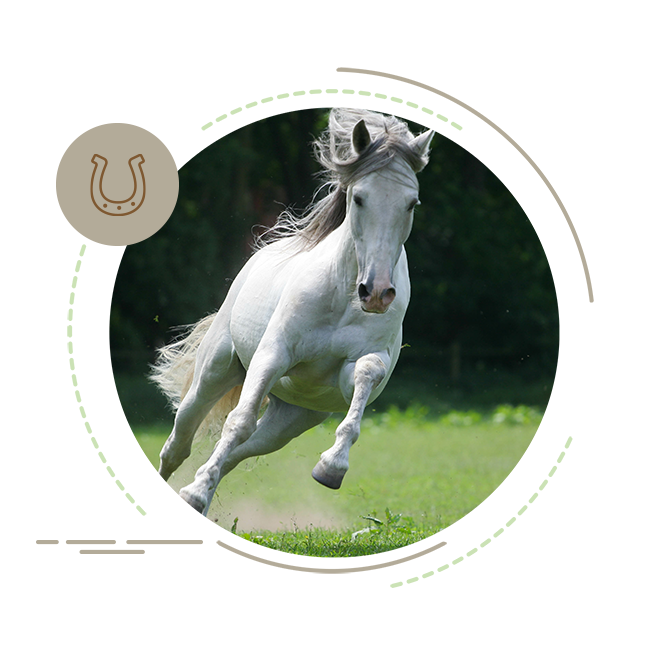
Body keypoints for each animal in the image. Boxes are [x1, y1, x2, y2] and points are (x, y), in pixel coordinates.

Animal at [123, 107, 439, 550]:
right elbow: (237, 421)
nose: (376, 293)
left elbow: (365, 375)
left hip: (291, 419)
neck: (342, 293)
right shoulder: (273, 356)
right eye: (359, 198)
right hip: (215, 375)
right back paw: (139, 527)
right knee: (179, 448)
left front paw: (332, 466)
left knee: (234, 454)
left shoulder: (353, 372)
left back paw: (193, 527)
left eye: (412, 203)